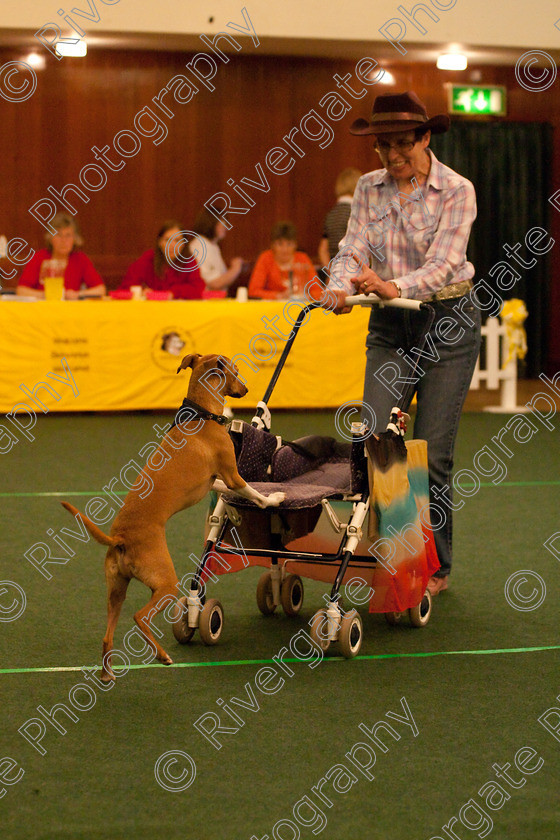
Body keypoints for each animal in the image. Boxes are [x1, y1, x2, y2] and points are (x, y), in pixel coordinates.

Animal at [61, 354, 284, 684]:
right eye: (236, 371)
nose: (245, 390)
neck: (201, 415)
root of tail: (119, 538)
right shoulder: (232, 474)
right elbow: (253, 493)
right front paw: (273, 499)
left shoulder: (216, 480)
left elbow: (225, 494)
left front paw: (231, 512)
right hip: (165, 582)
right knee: (140, 617)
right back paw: (162, 656)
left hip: (116, 590)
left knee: (107, 635)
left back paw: (107, 674)